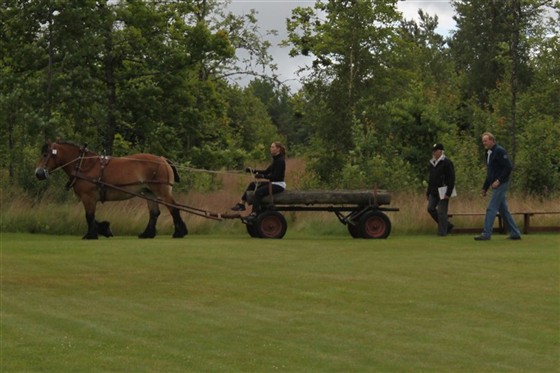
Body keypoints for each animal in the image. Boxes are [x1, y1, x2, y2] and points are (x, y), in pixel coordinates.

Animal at [35, 139, 188, 238]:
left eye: (45, 154)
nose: (38, 173)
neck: (84, 165)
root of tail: (162, 159)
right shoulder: (90, 199)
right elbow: (92, 217)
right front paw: (103, 228)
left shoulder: (88, 197)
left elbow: (89, 216)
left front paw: (91, 235)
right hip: (149, 193)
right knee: (154, 213)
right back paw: (147, 234)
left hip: (162, 192)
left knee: (174, 208)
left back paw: (179, 233)